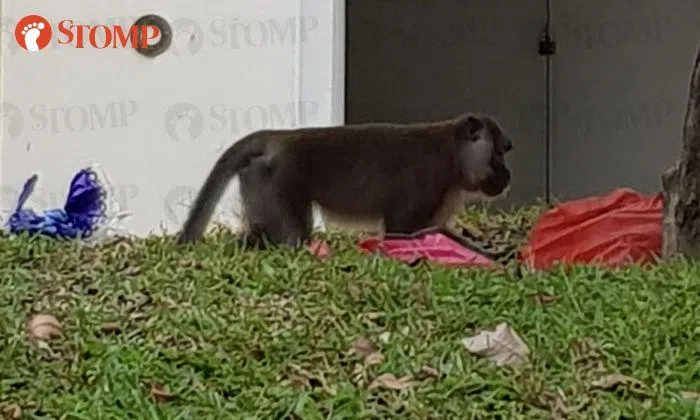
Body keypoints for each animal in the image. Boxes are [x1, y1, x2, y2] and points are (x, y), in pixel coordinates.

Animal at [175, 112, 513, 248]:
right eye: (499, 153)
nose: (507, 175)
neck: (452, 156)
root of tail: (276, 139)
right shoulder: (426, 182)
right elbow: (401, 232)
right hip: (275, 182)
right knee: (293, 235)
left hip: (257, 179)